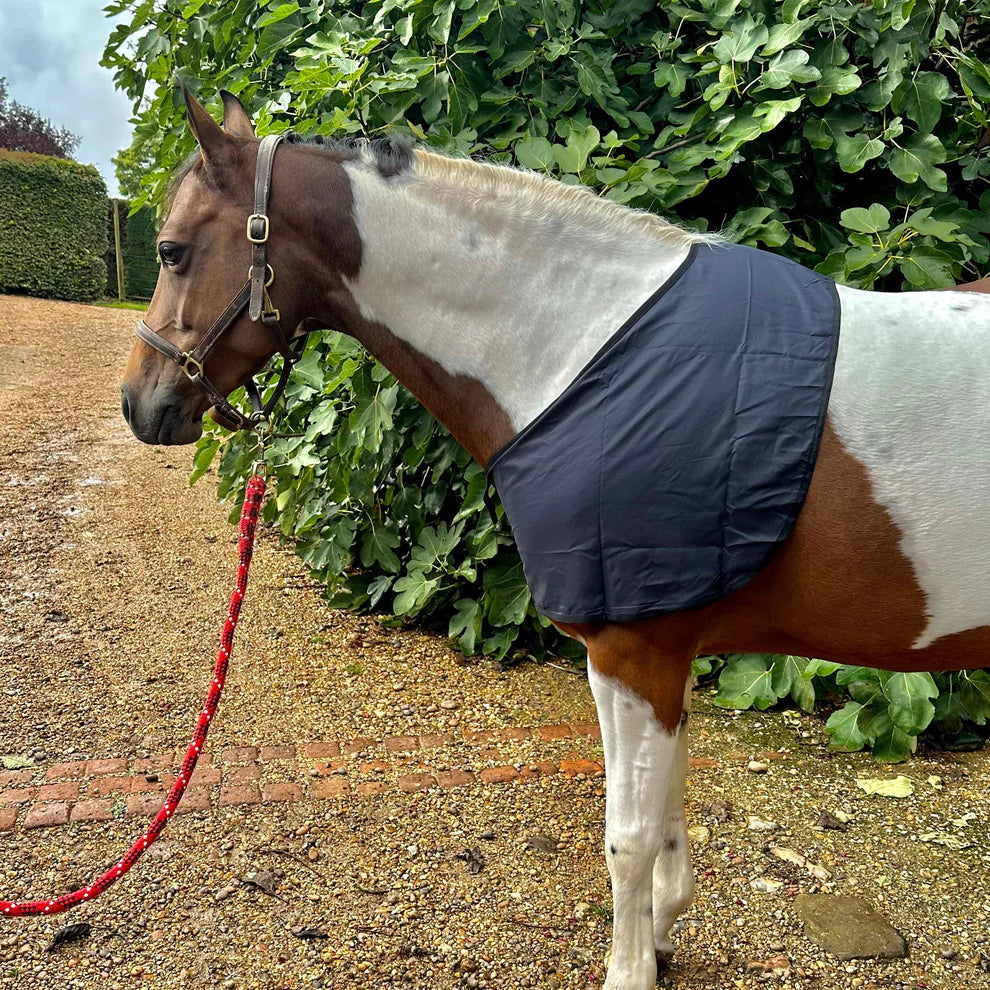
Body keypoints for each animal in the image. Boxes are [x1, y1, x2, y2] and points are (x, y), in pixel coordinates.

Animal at [120, 89, 990, 990]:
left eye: (172, 250)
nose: (139, 403)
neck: (584, 352)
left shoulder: (633, 651)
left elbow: (628, 838)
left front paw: (630, 969)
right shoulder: (665, 654)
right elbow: (667, 809)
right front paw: (662, 935)